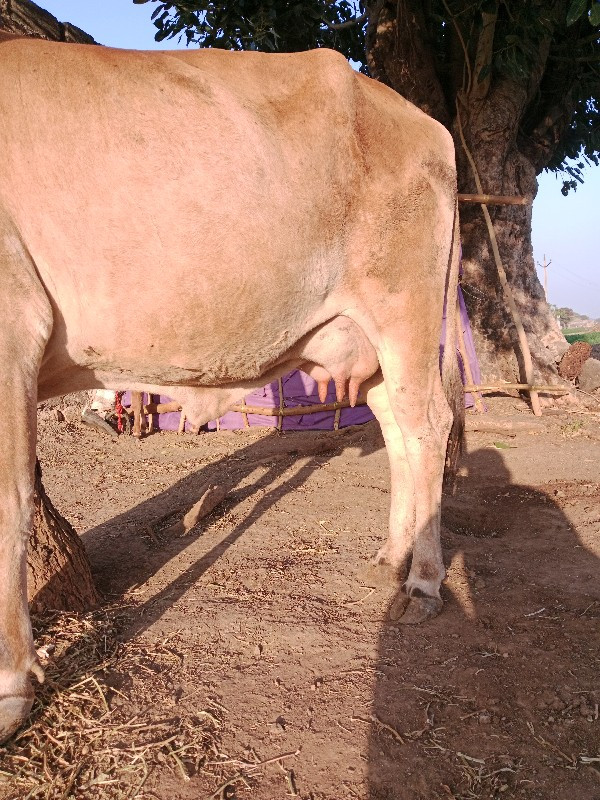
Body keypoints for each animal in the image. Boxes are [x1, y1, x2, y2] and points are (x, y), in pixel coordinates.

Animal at [0, 32, 464, 744]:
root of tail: (423, 121)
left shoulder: (11, 324)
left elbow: (10, 501)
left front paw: (10, 689)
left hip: (405, 305)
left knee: (427, 422)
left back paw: (424, 582)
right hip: (366, 337)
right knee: (396, 426)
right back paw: (393, 555)